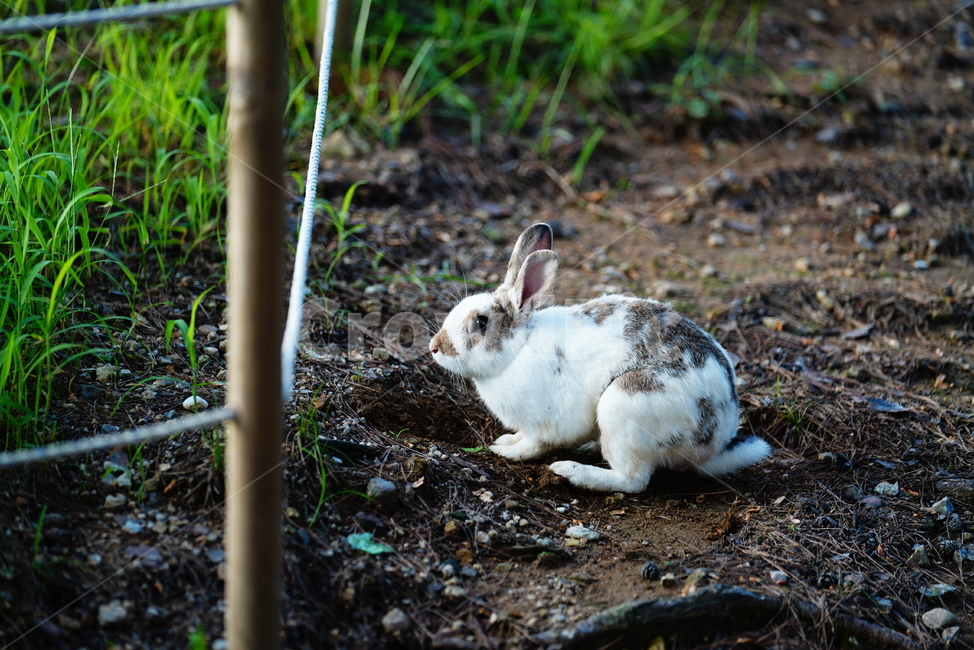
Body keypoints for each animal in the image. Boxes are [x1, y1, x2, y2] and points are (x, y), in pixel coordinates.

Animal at [428, 223, 771, 493]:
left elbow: (534, 444)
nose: (434, 346)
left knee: (633, 480)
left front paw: (507, 452)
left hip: (625, 403)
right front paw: (506, 441)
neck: (518, 349)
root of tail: (715, 442)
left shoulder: (543, 425)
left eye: (481, 322)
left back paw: (572, 471)